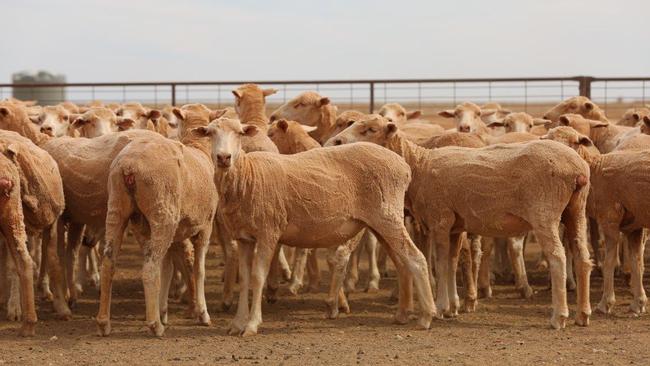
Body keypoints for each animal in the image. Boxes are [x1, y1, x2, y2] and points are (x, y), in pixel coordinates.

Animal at [195, 118, 432, 338]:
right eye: (210, 133)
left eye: (239, 133)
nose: (224, 158)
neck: (248, 175)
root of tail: (403, 165)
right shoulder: (244, 237)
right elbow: (244, 280)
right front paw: (236, 324)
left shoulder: (268, 233)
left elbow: (257, 277)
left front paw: (252, 325)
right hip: (380, 223)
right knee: (402, 263)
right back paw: (402, 314)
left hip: (387, 217)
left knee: (417, 259)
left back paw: (426, 317)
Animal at [330, 115, 592, 328]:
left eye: (371, 129)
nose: (337, 142)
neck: (420, 164)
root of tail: (577, 170)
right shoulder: (455, 226)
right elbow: (453, 261)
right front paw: (453, 307)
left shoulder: (440, 219)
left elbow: (441, 262)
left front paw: (440, 307)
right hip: (576, 211)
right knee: (582, 256)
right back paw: (582, 314)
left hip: (544, 214)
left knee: (558, 257)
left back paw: (559, 316)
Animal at [540, 126, 648, 314]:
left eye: (574, 142)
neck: (595, 170)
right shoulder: (634, 226)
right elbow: (637, 262)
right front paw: (638, 303)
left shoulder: (610, 219)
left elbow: (609, 262)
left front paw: (606, 303)